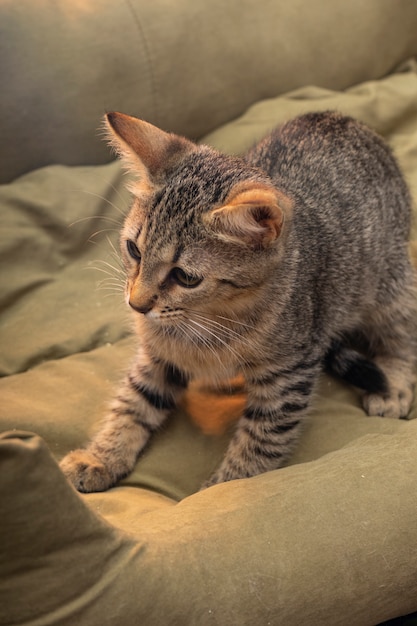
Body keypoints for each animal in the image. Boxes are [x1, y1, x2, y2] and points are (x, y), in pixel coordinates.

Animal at [60, 109, 414, 490]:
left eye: (186, 277)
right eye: (134, 250)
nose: (137, 305)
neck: (209, 319)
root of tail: (342, 118)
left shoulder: (288, 373)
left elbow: (262, 441)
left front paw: (223, 487)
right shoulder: (159, 354)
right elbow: (133, 400)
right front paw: (101, 457)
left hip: (390, 285)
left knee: (402, 333)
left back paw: (393, 383)